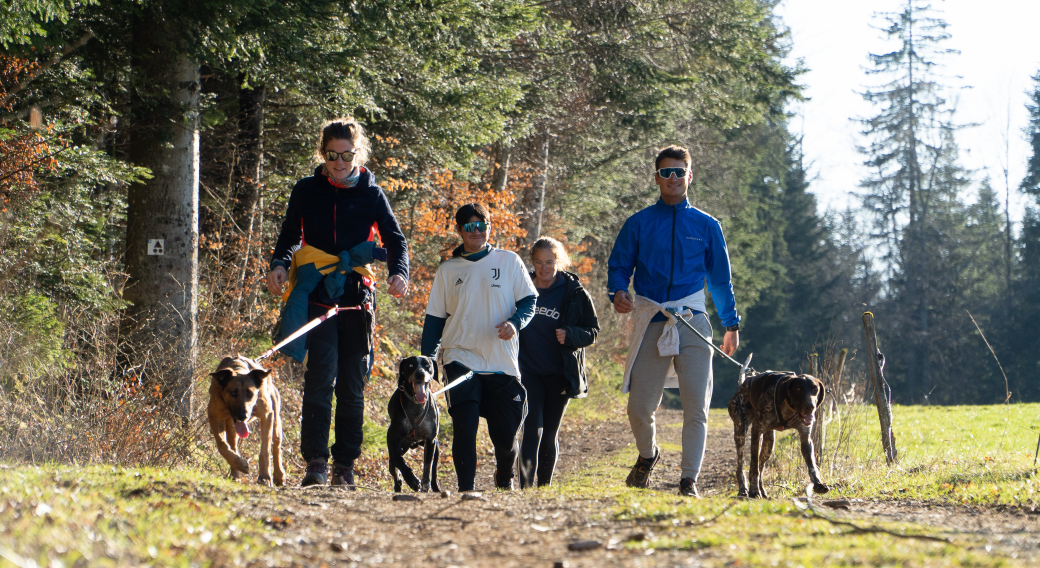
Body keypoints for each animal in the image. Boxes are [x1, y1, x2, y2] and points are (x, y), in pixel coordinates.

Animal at [206, 355, 284, 484]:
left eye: (250, 393)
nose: (243, 416)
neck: (239, 370)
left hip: (276, 420)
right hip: (231, 427)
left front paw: (265, 476)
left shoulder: (267, 415)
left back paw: (279, 475)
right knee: (233, 445)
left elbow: (265, 449)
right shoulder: (214, 416)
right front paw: (240, 464)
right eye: (233, 393)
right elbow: (222, 445)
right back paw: (236, 472)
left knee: (276, 445)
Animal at [388, 353, 440, 491]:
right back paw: (398, 485)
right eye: (411, 365)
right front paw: (411, 480)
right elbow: (399, 460)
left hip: (436, 450)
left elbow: (427, 468)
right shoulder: (392, 438)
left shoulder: (430, 441)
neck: (416, 405)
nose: (420, 374)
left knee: (434, 471)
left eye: (427, 365)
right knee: (394, 467)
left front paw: (425, 486)